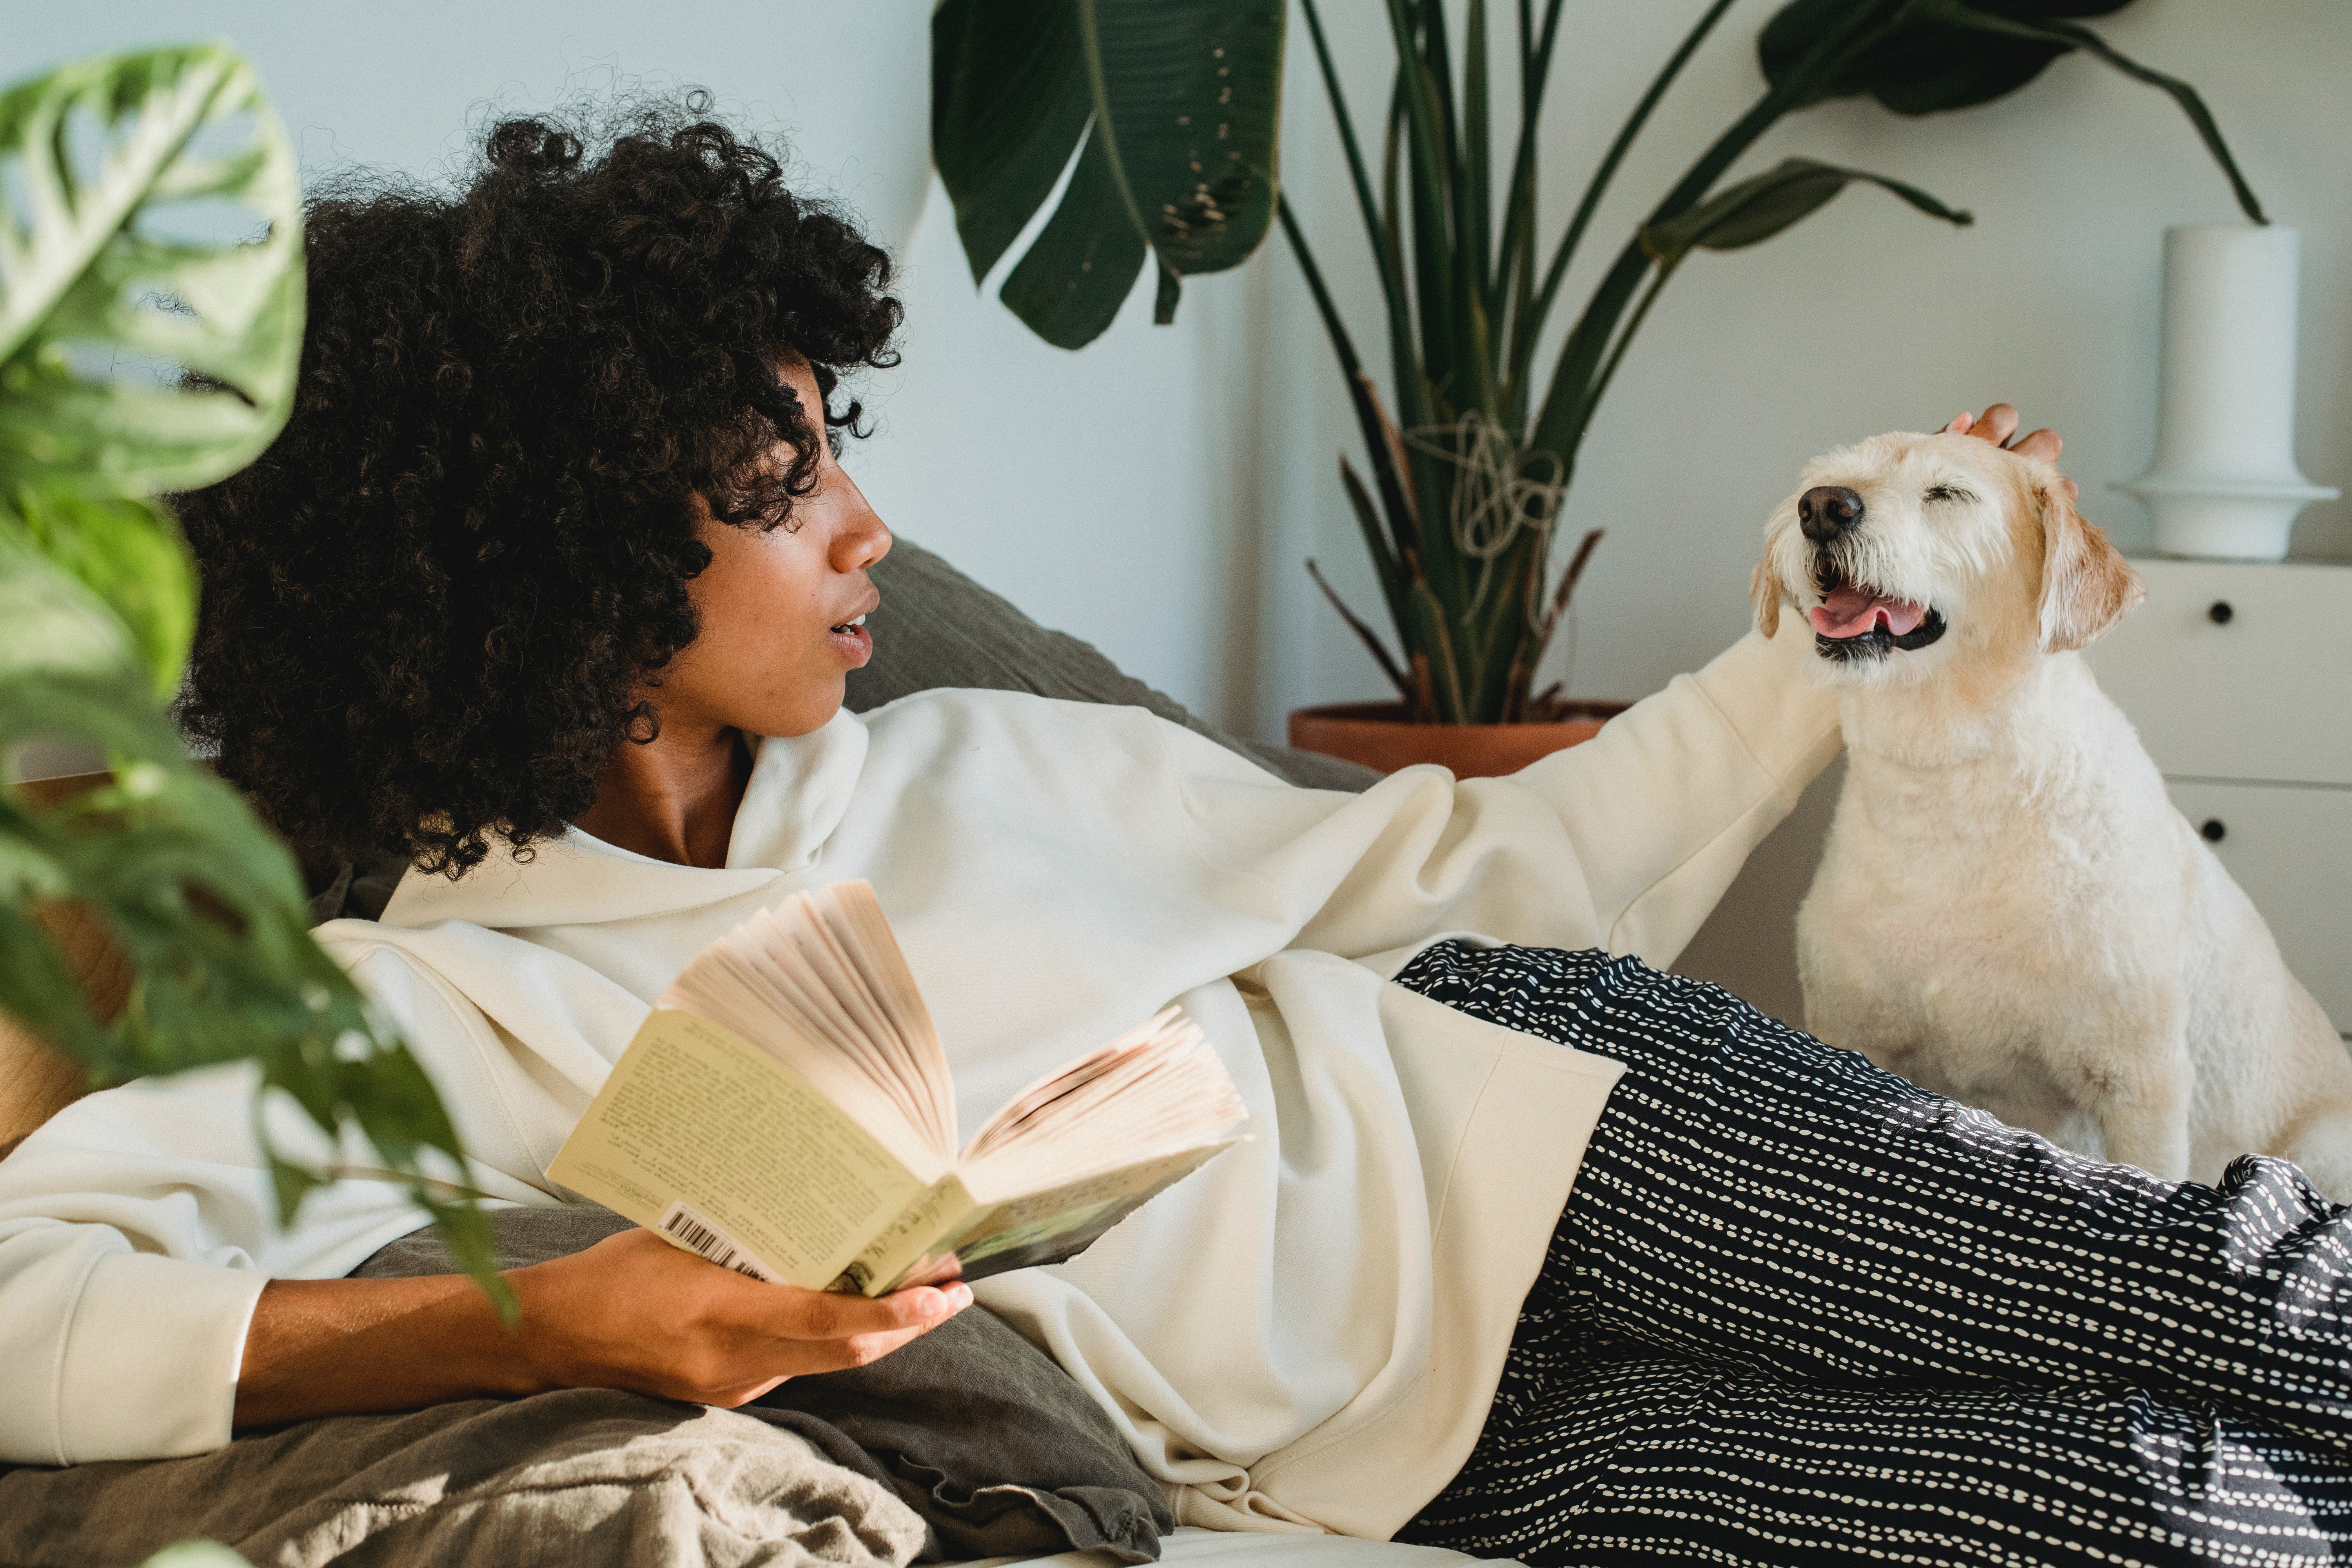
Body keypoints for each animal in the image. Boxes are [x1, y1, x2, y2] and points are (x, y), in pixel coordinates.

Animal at [1769, 435, 2352, 1194]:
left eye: (1948, 493)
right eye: (1823, 477)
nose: (1821, 508)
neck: (1950, 788)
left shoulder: (2139, 1087)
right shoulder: (1847, 1038)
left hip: (2323, 1152)